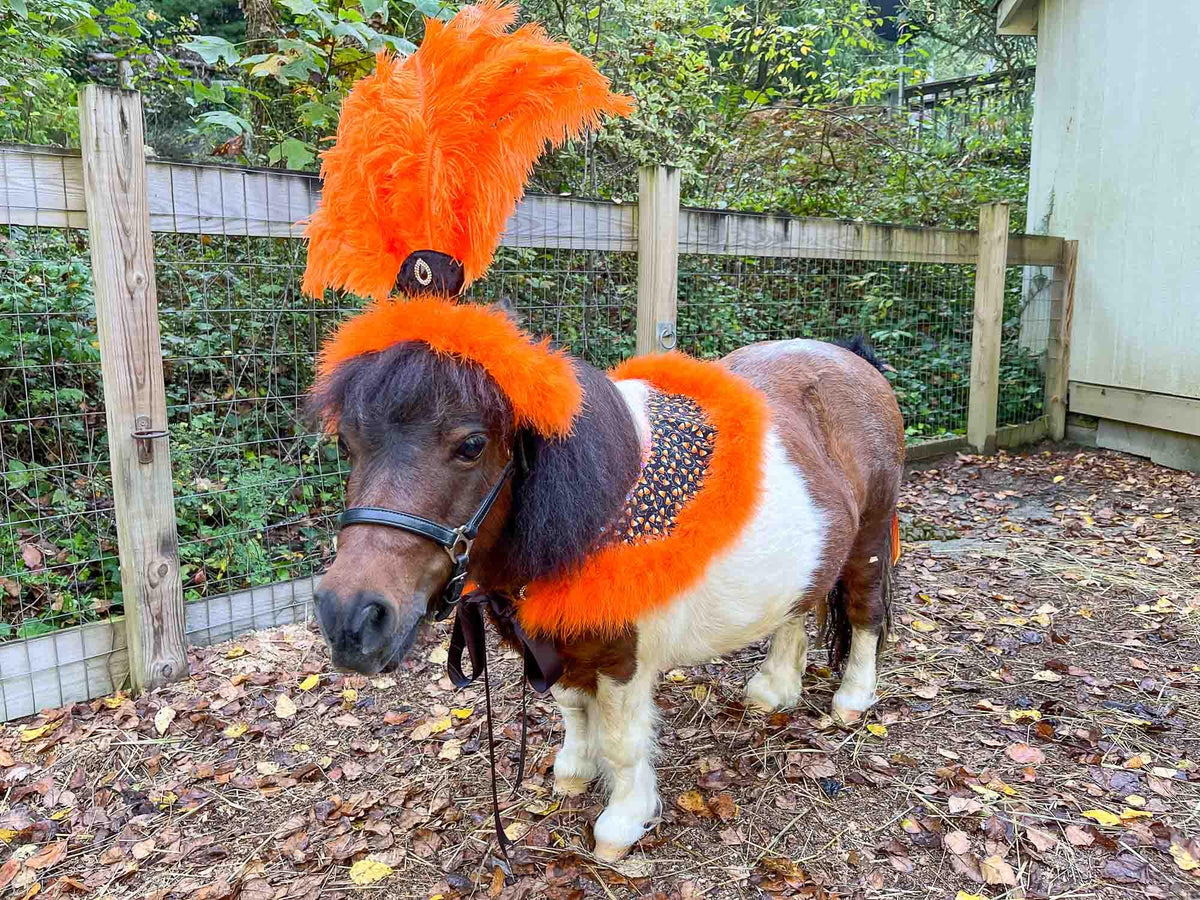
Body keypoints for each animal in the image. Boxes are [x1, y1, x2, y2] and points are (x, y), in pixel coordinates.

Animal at [308, 306, 904, 862]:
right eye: (348, 443)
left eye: (472, 444)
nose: (350, 616)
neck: (592, 515)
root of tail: (851, 358)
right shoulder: (555, 638)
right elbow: (572, 708)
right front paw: (575, 770)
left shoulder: (624, 658)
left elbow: (621, 741)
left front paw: (622, 822)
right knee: (797, 609)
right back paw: (774, 690)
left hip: (871, 536)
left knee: (864, 612)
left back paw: (853, 699)